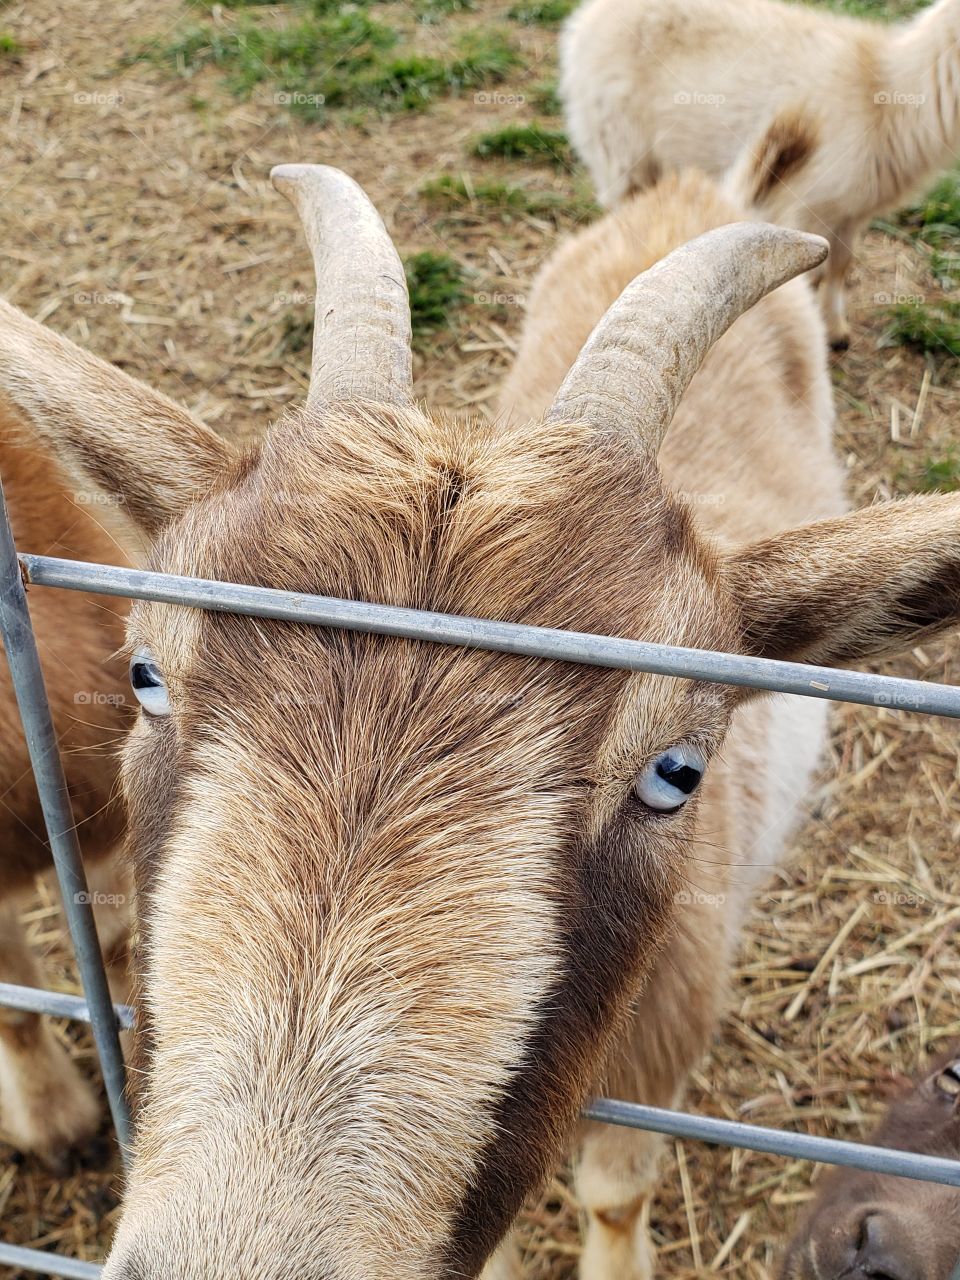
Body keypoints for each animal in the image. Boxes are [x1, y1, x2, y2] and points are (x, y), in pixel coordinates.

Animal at [560, 0, 960, 349]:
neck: (886, 96)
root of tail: (585, 20)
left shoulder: (851, 211)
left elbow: (841, 265)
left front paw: (837, 331)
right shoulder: (803, 202)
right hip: (619, 147)